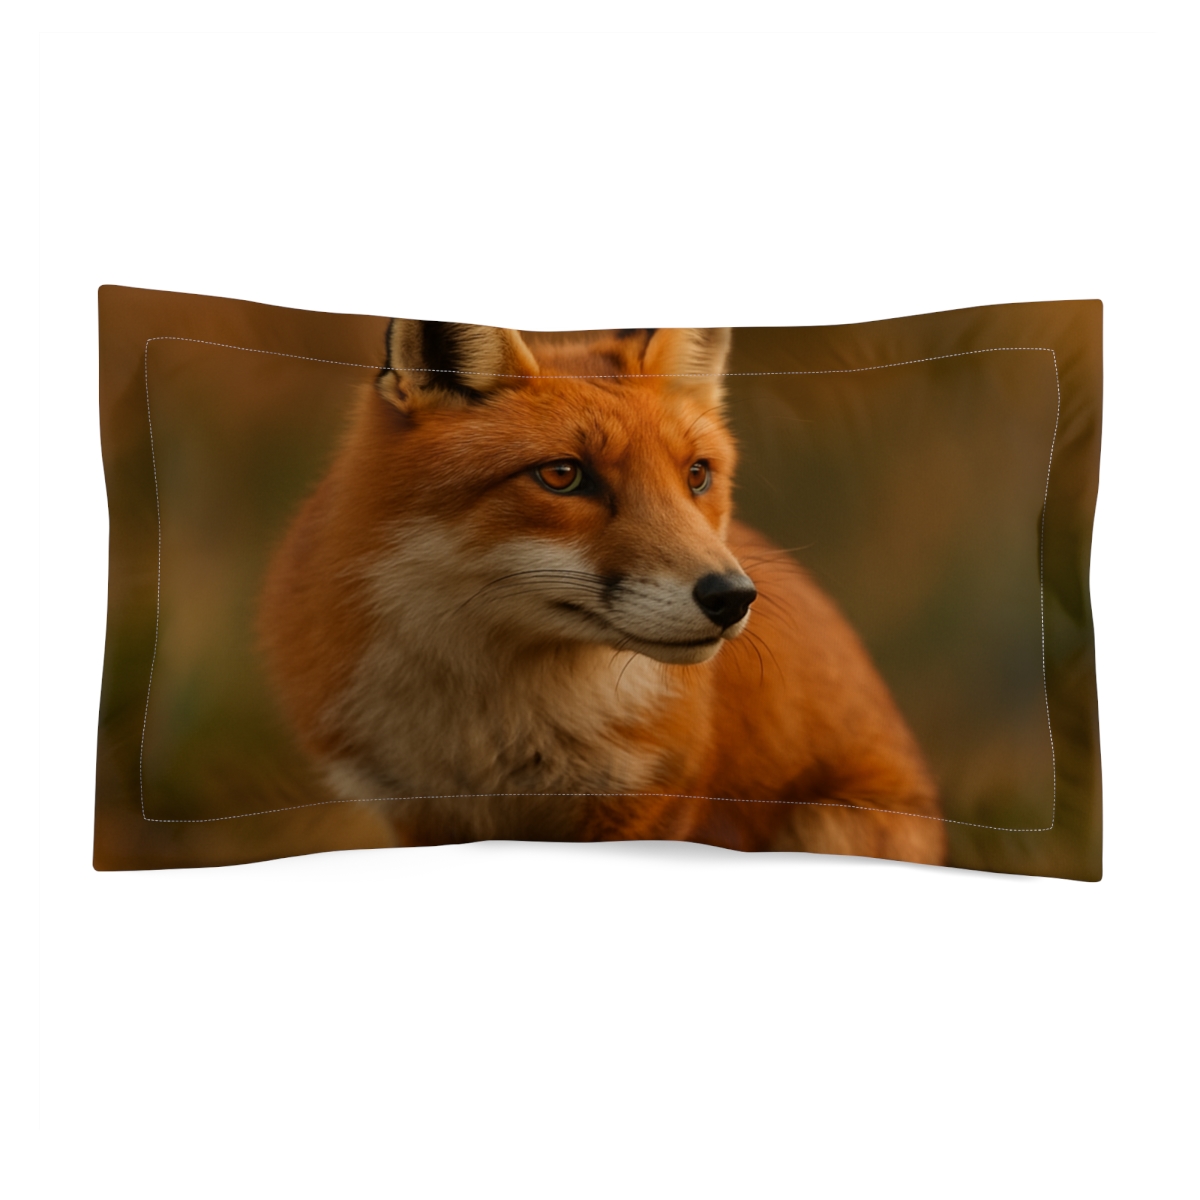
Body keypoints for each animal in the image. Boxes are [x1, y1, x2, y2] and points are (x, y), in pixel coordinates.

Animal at [258, 322, 946, 865]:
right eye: (563, 476)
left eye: (697, 475)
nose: (732, 598)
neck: (491, 728)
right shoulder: (417, 809)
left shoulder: (648, 800)